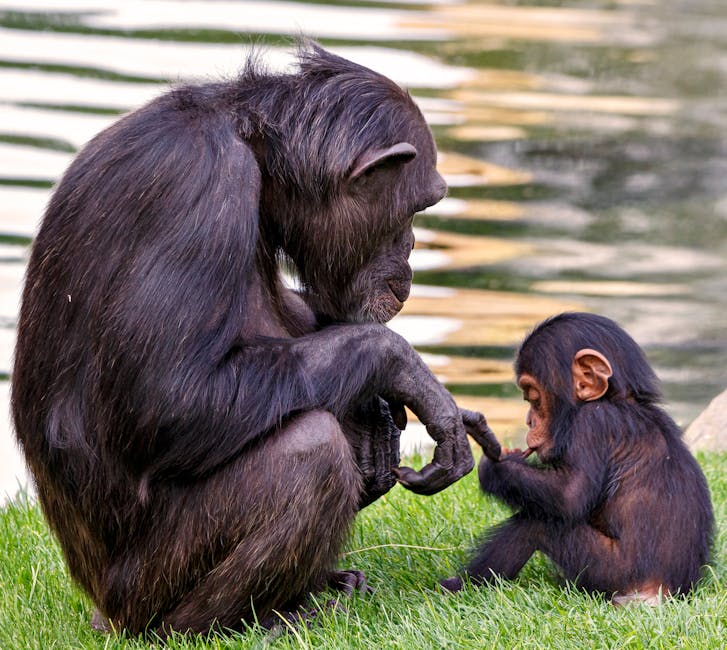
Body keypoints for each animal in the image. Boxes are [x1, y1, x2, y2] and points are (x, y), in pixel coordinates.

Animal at [11, 44, 494, 632]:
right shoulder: (199, 183)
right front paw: (404, 370)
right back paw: (242, 621)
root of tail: (103, 611)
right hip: (141, 589)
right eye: (418, 208)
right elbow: (170, 395)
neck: (258, 153)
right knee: (309, 450)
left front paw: (381, 409)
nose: (411, 249)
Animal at [440, 314, 712, 604]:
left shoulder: (591, 424)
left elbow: (570, 493)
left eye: (533, 397)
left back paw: (457, 587)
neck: (618, 400)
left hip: (612, 573)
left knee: (535, 524)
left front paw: (494, 467)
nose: (529, 421)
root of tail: (660, 593)